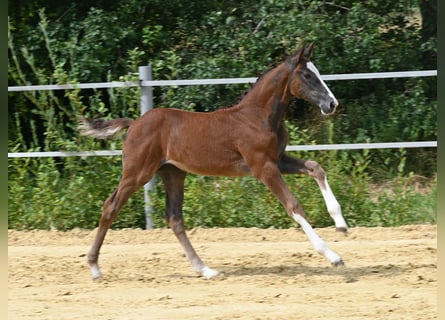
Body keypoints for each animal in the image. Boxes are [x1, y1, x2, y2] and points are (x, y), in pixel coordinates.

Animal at [80, 43, 346, 278]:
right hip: (137, 172)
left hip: (173, 173)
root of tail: (134, 123)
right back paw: (94, 267)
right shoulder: (263, 167)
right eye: (307, 75)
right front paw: (333, 256)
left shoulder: (278, 160)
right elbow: (294, 205)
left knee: (175, 218)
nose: (332, 103)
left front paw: (340, 223)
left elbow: (316, 168)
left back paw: (205, 269)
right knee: (111, 206)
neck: (257, 117)